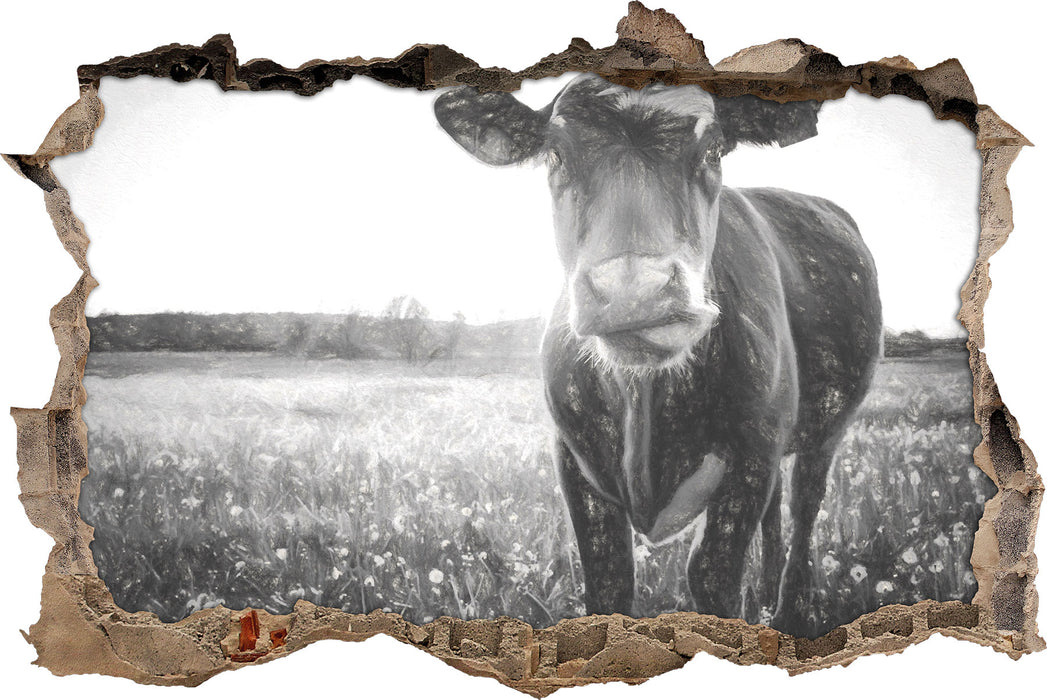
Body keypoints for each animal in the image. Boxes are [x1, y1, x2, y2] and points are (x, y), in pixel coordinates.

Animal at [434, 74, 882, 637]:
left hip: (826, 428)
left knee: (804, 506)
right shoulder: (574, 458)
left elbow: (711, 575)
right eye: (555, 154)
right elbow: (609, 580)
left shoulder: (752, 453)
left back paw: (791, 611)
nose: (634, 291)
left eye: (713, 149)